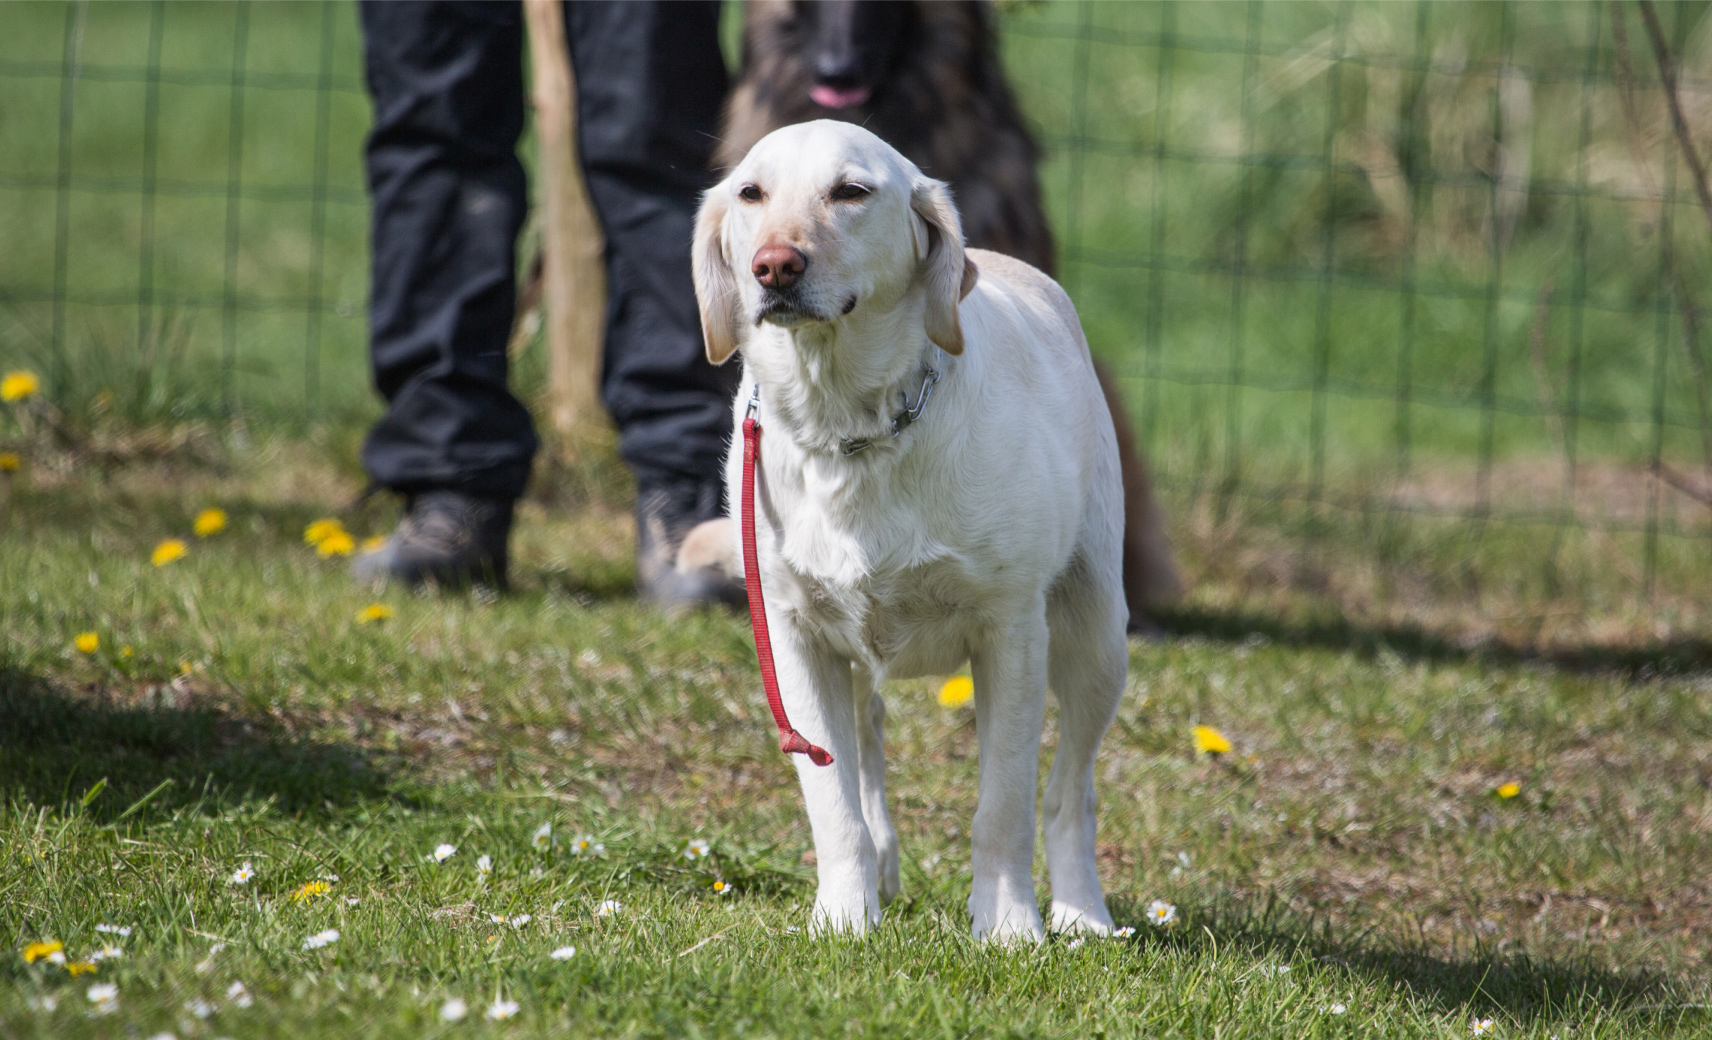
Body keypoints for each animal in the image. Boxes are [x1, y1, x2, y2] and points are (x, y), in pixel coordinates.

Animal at [688, 121, 1129, 945]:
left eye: (851, 192)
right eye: (751, 193)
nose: (774, 265)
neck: (847, 425)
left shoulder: (1011, 633)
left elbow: (1004, 807)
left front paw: (1009, 927)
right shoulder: (794, 640)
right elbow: (834, 807)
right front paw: (843, 919)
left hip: (1096, 639)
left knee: (1070, 792)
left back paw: (1082, 913)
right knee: (869, 758)